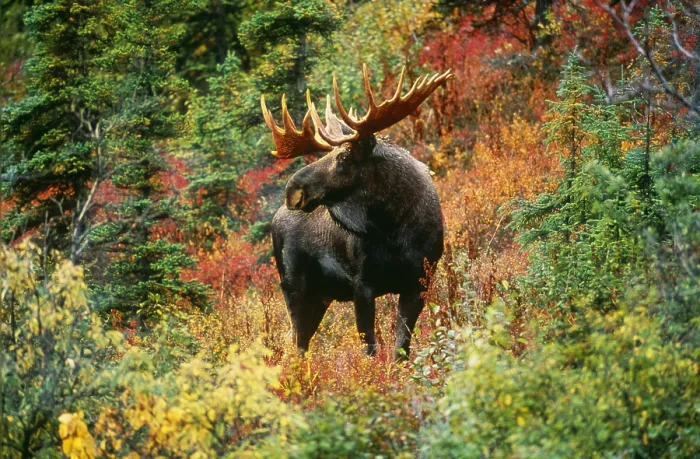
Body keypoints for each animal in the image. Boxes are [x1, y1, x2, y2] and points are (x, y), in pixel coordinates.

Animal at [261, 64, 452, 360]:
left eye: (343, 156)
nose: (293, 190)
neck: (397, 230)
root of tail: (275, 218)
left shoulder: (419, 281)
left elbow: (401, 348)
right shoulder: (362, 285)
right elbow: (370, 349)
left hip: (321, 295)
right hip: (294, 286)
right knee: (296, 343)